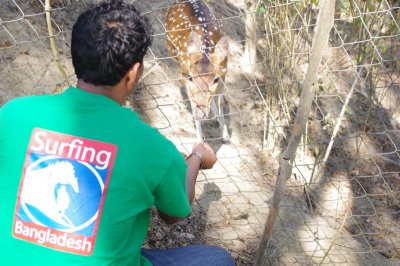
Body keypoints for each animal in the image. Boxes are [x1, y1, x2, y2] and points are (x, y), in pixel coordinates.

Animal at [165, 0, 228, 143]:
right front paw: (200, 140)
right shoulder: (183, 73)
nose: (201, 113)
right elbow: (193, 102)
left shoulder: (224, 72)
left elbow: (220, 102)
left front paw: (226, 135)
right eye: (191, 77)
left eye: (215, 79)